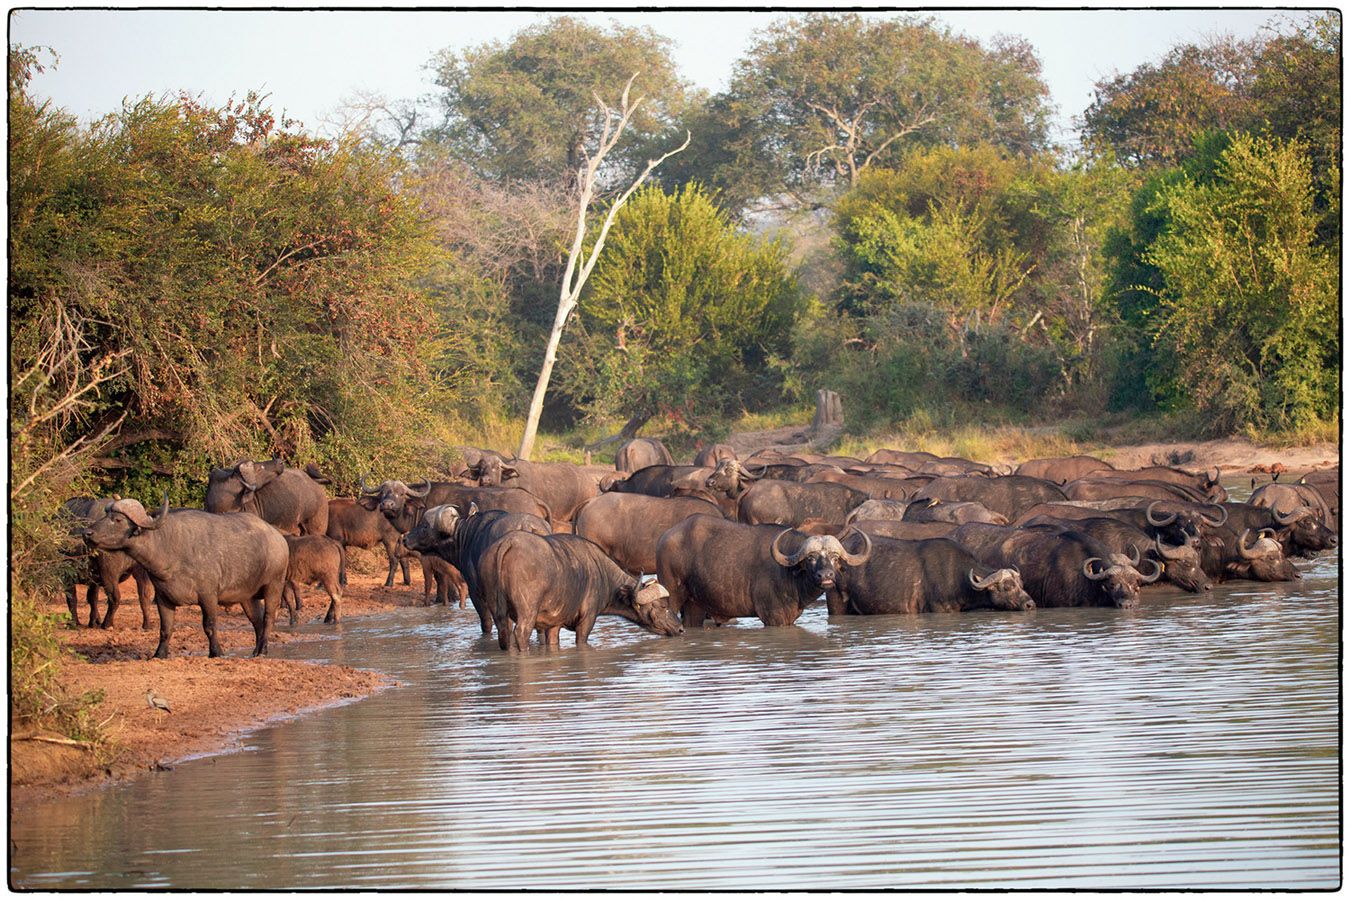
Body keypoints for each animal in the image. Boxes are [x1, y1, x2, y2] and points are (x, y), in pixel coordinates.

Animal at [81, 496, 287, 658]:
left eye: (117, 519)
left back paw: (263, 650)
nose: (87, 533)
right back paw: (256, 650)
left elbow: (209, 625)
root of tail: (279, 539)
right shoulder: (163, 598)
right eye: (105, 516)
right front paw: (159, 654)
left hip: (274, 586)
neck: (170, 549)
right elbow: (165, 629)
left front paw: (216, 652)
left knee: (268, 618)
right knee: (257, 621)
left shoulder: (208, 596)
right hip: (247, 596)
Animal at [656, 512, 874, 626]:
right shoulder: (773, 617)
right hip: (671, 596)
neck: (789, 573)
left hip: (695, 604)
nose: (826, 576)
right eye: (811, 558)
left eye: (835, 558)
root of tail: (664, 537)